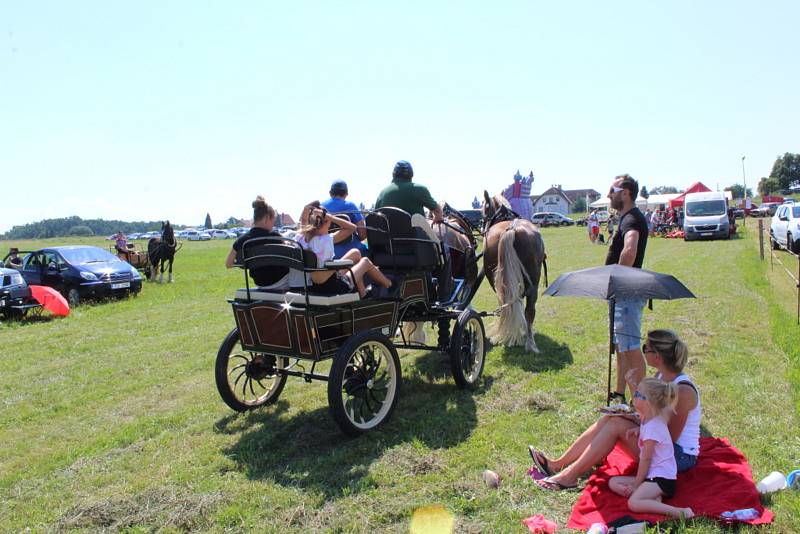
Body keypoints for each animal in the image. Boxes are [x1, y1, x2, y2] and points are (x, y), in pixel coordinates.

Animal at [478, 192, 548, 352]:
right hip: (531, 283)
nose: (482, 226)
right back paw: (529, 341)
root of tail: (512, 228)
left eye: (483, 211)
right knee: (528, 310)